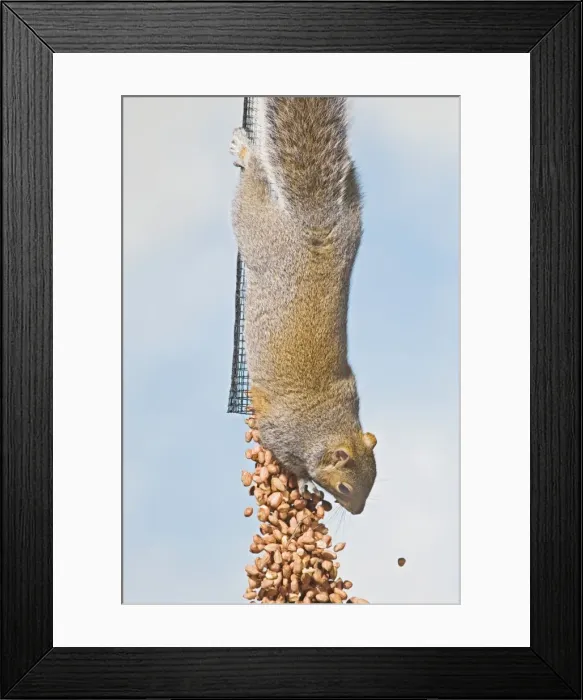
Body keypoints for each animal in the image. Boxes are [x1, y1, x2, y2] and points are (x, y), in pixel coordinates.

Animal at [230, 97, 377, 515]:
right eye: (345, 487)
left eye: (374, 480)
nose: (358, 511)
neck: (328, 424)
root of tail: (316, 225)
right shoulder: (279, 433)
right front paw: (299, 480)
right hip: (258, 230)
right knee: (252, 190)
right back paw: (245, 152)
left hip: (351, 218)